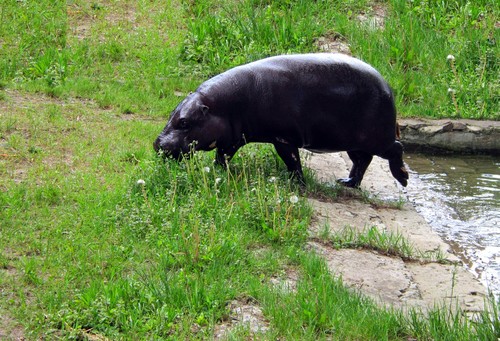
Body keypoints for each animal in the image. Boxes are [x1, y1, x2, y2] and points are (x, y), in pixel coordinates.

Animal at [154, 51, 408, 187]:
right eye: (172, 114)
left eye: (184, 122)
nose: (157, 144)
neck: (221, 105)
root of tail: (388, 88)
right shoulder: (233, 137)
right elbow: (222, 156)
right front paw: (219, 172)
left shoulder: (284, 138)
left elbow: (292, 160)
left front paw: (297, 184)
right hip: (352, 142)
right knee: (362, 161)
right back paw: (347, 183)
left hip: (376, 138)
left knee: (396, 148)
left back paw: (403, 178)